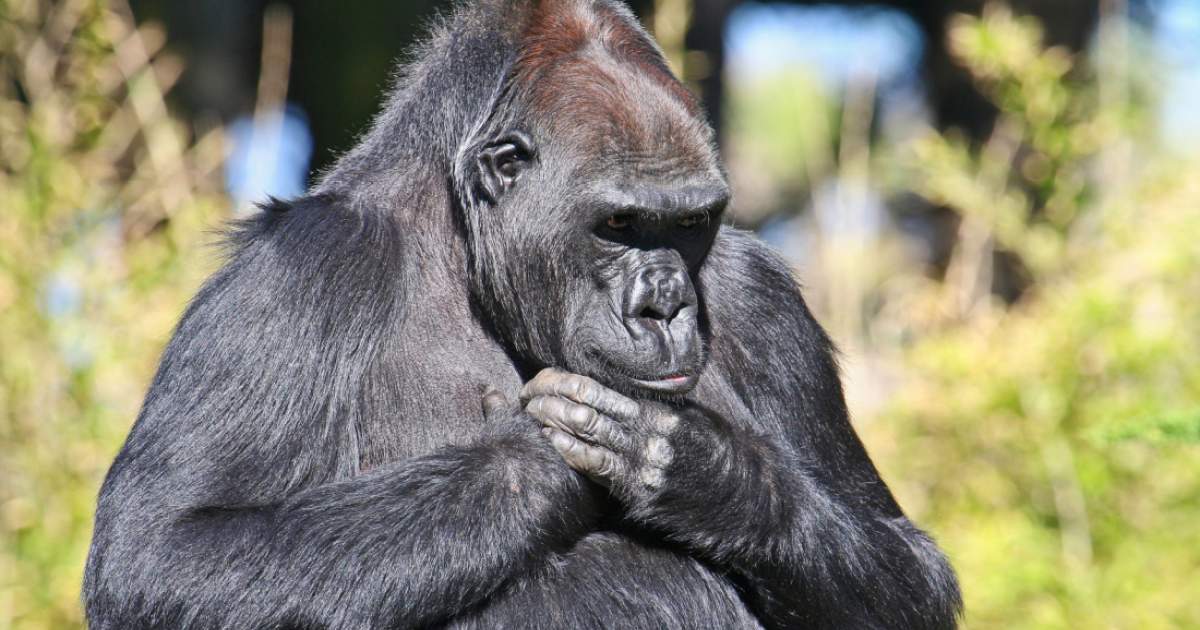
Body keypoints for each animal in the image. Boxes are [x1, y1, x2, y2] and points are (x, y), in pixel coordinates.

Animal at [84, 2, 960, 624]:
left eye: (691, 224)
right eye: (618, 225)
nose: (666, 305)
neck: (466, 254)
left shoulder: (763, 299)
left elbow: (911, 574)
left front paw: (701, 472)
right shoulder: (295, 272)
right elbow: (163, 553)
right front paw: (540, 462)